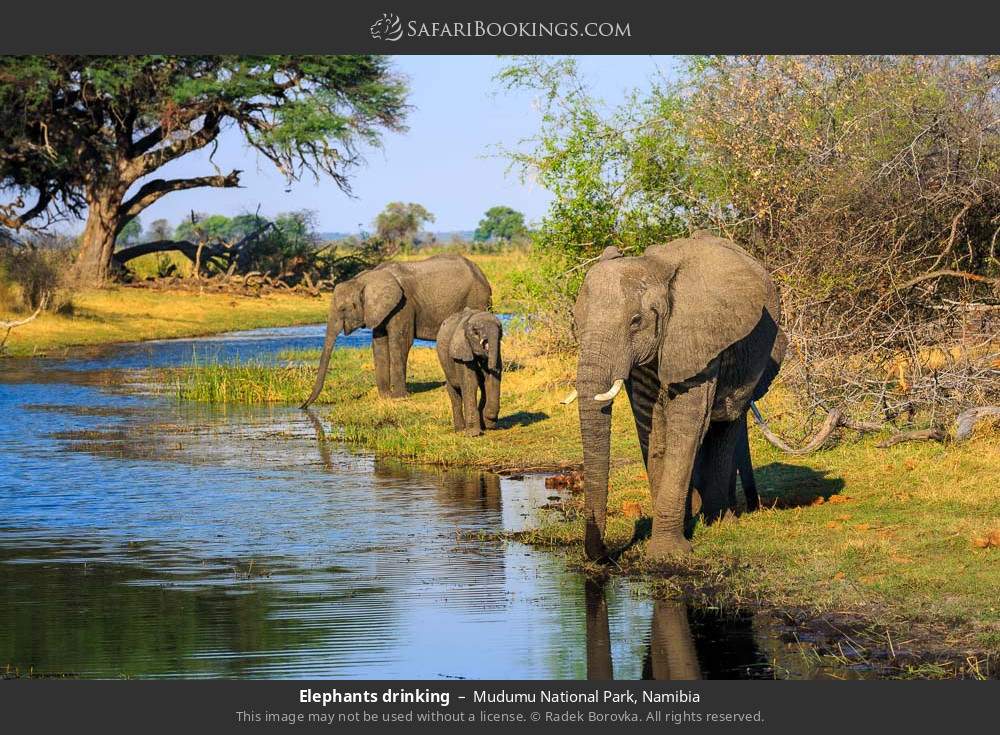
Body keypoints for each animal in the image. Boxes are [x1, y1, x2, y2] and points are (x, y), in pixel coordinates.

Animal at [302, 254, 494, 408]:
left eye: (342, 309)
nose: (303, 407)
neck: (365, 279)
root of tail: (482, 274)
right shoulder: (380, 311)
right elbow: (379, 344)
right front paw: (385, 397)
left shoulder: (404, 305)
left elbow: (400, 342)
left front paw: (400, 397)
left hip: (477, 299)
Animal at [436, 306, 504, 436]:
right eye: (475, 331)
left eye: (501, 330)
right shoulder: (462, 352)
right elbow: (470, 383)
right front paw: (474, 434)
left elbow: (490, 380)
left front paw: (489, 424)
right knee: (455, 394)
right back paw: (460, 430)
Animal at [568, 233, 784, 560]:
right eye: (577, 324)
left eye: (635, 321)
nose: (605, 553)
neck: (656, 270)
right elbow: (654, 428)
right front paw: (677, 530)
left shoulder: (697, 337)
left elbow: (686, 424)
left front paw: (666, 553)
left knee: (725, 424)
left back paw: (719, 520)